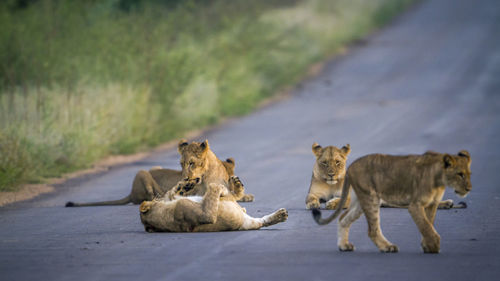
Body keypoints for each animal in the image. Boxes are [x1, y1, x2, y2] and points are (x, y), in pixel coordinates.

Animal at [141, 179, 290, 232]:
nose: (157, 196)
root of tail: (243, 221)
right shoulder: (201, 214)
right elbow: (213, 190)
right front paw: (216, 186)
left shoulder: (172, 198)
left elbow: (171, 193)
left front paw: (183, 185)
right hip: (231, 205)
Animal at [312, 150, 472, 253]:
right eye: (460, 174)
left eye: (468, 174)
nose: (469, 188)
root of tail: (351, 167)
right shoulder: (415, 205)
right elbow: (426, 225)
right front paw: (433, 245)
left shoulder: (429, 204)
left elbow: (428, 224)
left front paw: (427, 245)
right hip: (371, 198)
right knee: (372, 230)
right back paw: (387, 247)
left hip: (363, 200)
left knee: (343, 218)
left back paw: (344, 245)